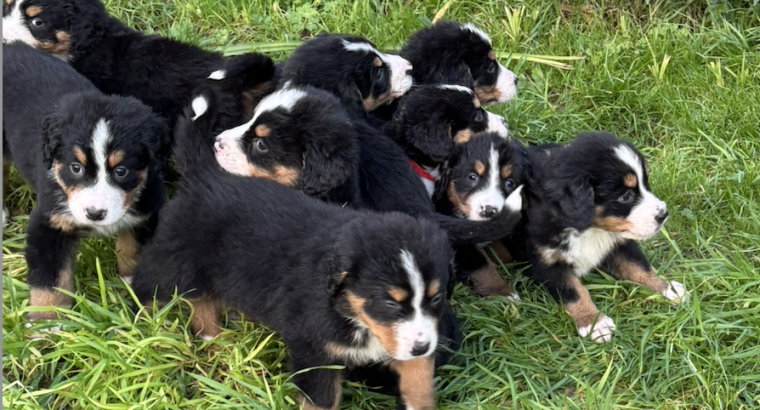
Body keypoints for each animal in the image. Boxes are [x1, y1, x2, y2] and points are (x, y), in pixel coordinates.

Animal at [2, 42, 169, 324]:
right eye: (76, 168)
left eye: (121, 171)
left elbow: (134, 254)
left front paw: (138, 302)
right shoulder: (50, 222)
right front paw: (48, 322)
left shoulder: (145, 216)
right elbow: (49, 281)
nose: (95, 214)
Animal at [131, 118, 454, 410]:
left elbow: (419, 378)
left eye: (436, 298)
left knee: (202, 300)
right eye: (389, 303)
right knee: (148, 284)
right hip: (175, 261)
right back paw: (144, 324)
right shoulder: (314, 350)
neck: (351, 311)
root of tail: (204, 173)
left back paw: (215, 337)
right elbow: (322, 401)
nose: (422, 347)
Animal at [434, 134, 528, 298]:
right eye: (472, 177)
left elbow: (503, 252)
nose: (489, 211)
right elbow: (482, 266)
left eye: (510, 183)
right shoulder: (459, 240)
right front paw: (503, 293)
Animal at [504, 132, 688, 342]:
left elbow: (639, 268)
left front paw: (667, 288)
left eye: (646, 184)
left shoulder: (618, 244)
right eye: (625, 196)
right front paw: (594, 322)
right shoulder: (545, 261)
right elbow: (575, 291)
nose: (663, 215)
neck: (590, 229)